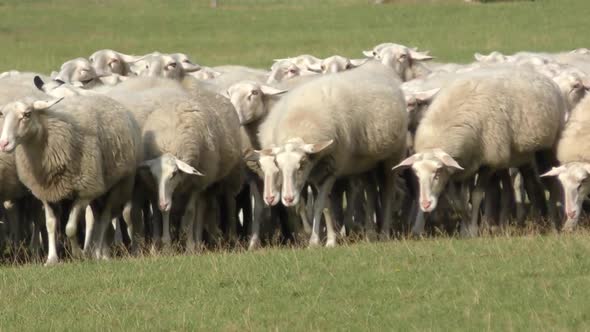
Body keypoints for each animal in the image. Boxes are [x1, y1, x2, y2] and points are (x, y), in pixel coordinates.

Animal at [0, 94, 142, 264]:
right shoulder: (47, 194)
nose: (3, 144)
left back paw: (100, 254)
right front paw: (51, 259)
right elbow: (50, 224)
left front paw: (78, 254)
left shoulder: (84, 192)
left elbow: (70, 228)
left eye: (27, 114)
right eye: (2, 114)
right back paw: (99, 252)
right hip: (99, 190)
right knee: (98, 217)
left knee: (105, 218)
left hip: (116, 186)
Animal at [262, 61, 410, 245]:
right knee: (370, 191)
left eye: (301, 164)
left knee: (387, 191)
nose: (288, 199)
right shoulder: (318, 173)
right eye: (278, 165)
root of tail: (377, 65)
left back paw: (384, 233)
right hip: (367, 162)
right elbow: (326, 205)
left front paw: (317, 241)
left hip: (392, 156)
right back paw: (370, 233)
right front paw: (330, 239)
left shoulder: (332, 168)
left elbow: (319, 204)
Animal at [394, 66, 568, 236]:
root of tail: (543, 76)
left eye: (437, 172)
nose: (425, 204)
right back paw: (536, 220)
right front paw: (465, 229)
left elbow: (476, 196)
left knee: (552, 183)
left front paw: (472, 230)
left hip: (547, 148)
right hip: (522, 155)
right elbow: (460, 201)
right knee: (529, 185)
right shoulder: (462, 167)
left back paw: (555, 222)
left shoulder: (488, 162)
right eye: (416, 174)